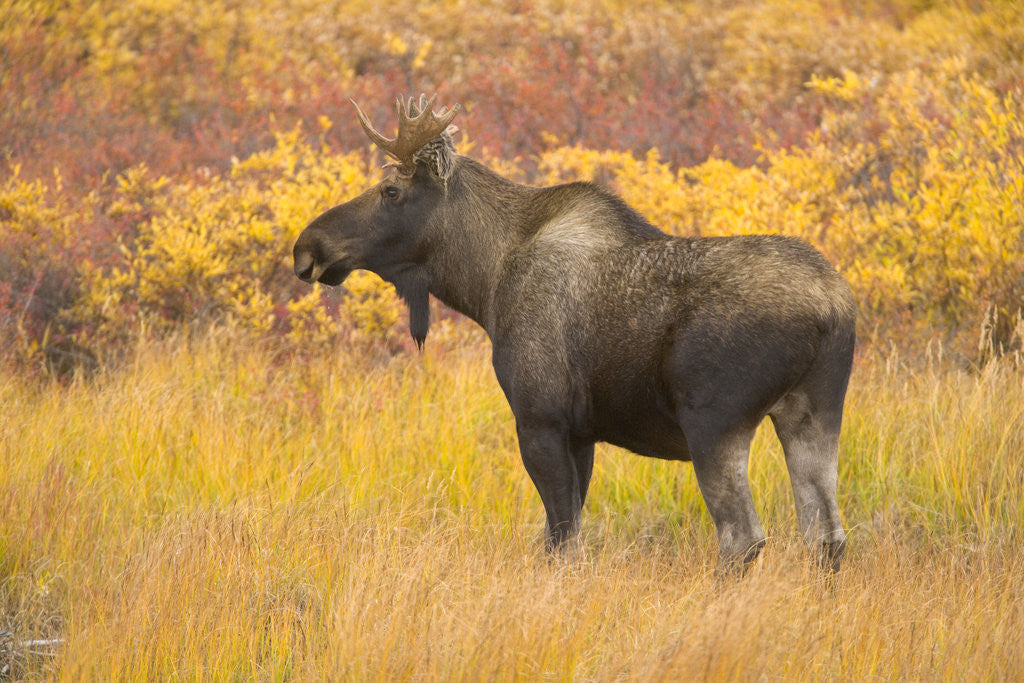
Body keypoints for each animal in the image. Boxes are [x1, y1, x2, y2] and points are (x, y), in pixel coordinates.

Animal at [293, 94, 856, 571]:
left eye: (391, 190)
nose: (307, 247)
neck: (485, 280)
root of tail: (831, 308)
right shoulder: (583, 433)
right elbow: (562, 533)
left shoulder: (540, 419)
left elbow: (563, 539)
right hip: (812, 412)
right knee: (826, 535)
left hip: (715, 421)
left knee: (743, 538)